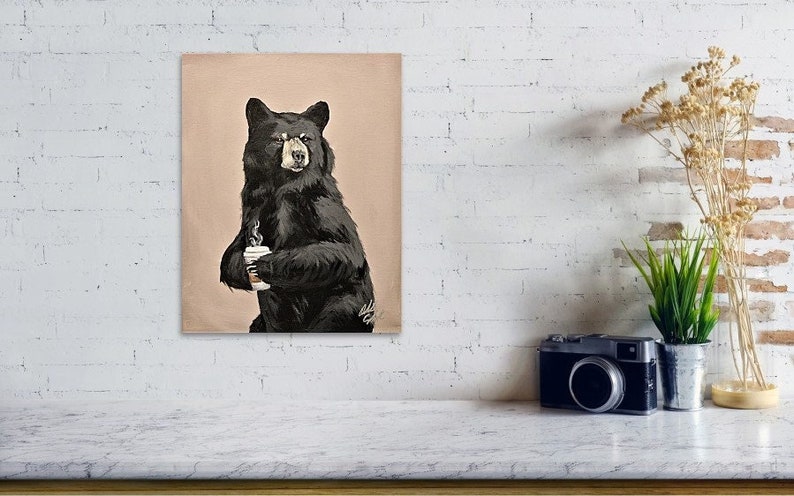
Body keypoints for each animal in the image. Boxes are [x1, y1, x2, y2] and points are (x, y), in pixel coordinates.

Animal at [219, 98, 375, 333]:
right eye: (278, 139)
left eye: (306, 138)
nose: (299, 155)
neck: (285, 185)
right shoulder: (255, 207)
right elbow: (232, 254)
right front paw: (246, 263)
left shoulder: (323, 205)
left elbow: (344, 249)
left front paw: (263, 263)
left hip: (344, 303)